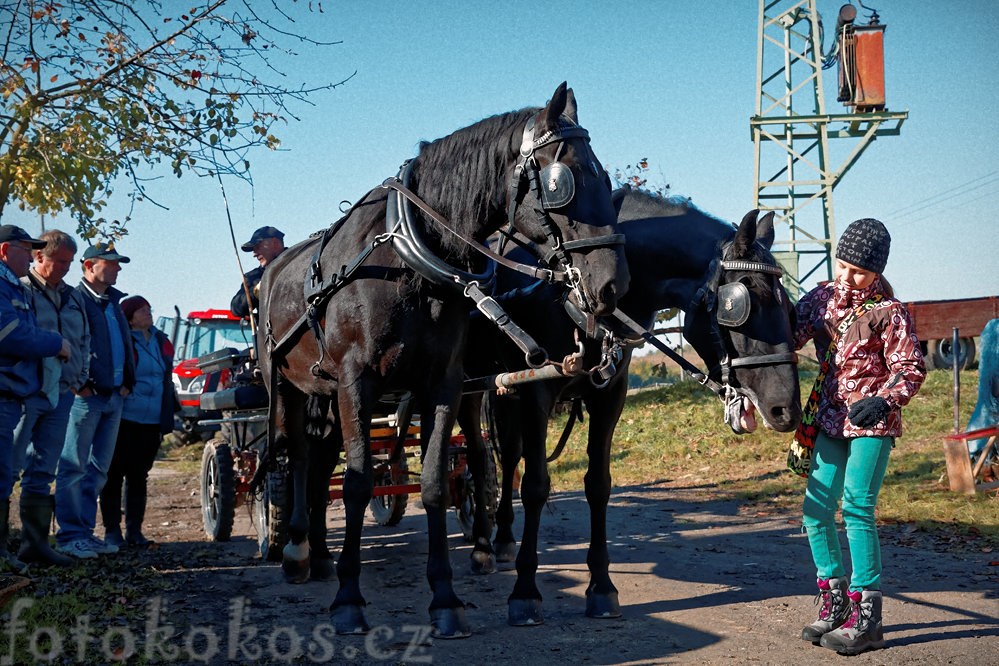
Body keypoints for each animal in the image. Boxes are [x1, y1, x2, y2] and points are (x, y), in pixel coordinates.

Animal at [258, 84, 632, 640]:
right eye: (562, 181)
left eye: (605, 178)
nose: (612, 284)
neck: (409, 261)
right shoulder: (355, 383)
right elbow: (358, 483)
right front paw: (349, 599)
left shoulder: (443, 384)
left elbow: (434, 482)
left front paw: (445, 599)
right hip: (288, 386)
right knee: (296, 455)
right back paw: (297, 548)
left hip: (326, 392)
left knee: (320, 458)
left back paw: (321, 554)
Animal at [460, 185, 804, 624]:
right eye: (742, 306)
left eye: (789, 309)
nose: (786, 410)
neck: (575, 289)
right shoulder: (538, 391)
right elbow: (536, 486)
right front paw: (524, 592)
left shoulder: (610, 393)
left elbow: (598, 485)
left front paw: (602, 587)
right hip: (473, 387)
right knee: (482, 454)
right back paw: (483, 547)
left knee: (508, 456)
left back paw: (502, 538)